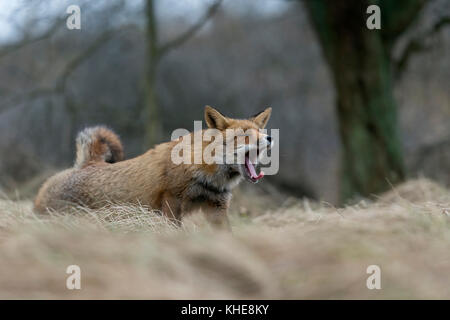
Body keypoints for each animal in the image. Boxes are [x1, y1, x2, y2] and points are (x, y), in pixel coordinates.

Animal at [33, 106, 272, 229]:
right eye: (245, 135)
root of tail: (86, 163)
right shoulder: (172, 201)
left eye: (259, 132)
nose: (269, 138)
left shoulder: (217, 206)